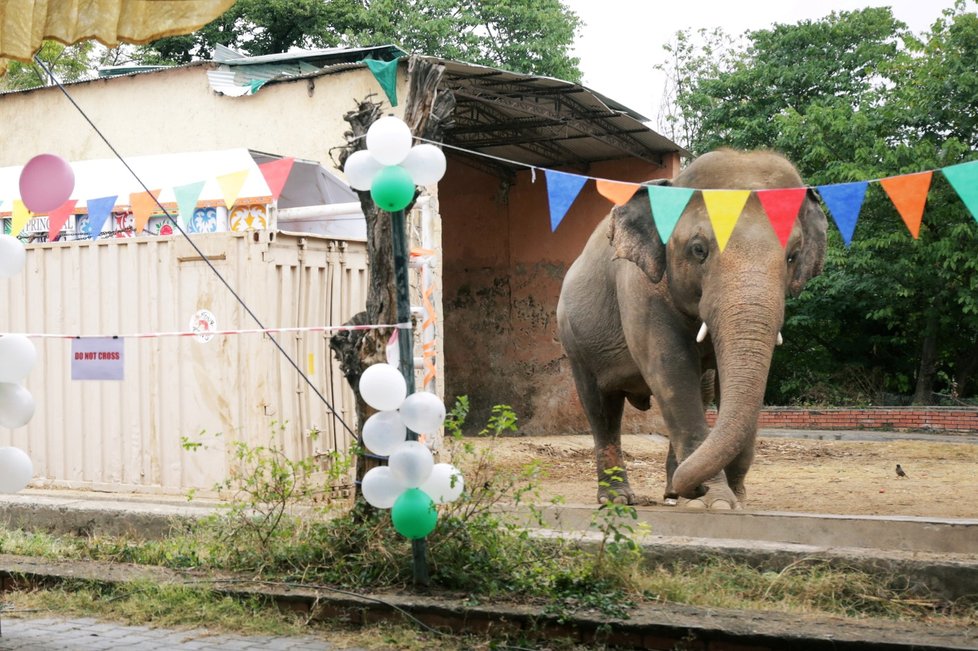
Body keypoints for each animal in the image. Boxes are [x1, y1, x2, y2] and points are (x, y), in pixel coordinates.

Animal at [556, 149, 824, 510]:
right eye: (699, 249)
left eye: (793, 256)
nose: (695, 489)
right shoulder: (637, 285)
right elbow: (670, 368)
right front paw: (716, 502)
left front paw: (729, 497)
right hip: (575, 341)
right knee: (601, 407)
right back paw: (618, 499)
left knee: (703, 390)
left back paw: (670, 493)